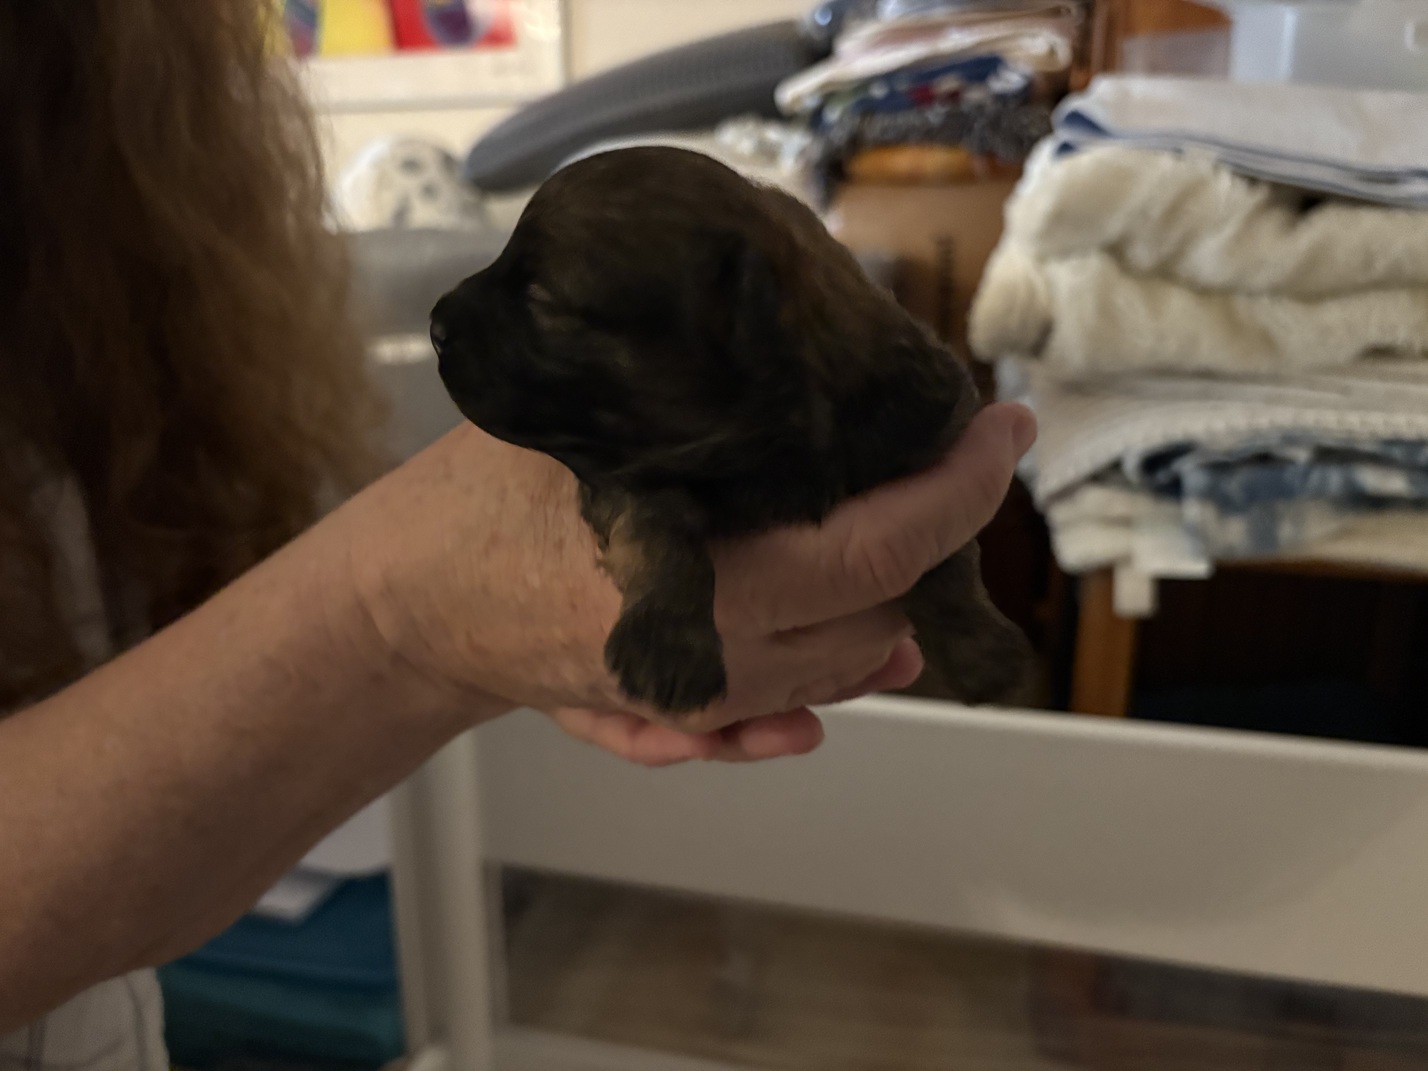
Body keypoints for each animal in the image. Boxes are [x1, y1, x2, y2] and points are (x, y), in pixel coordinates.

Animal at [432, 146, 1032, 714]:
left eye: (540, 298)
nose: (436, 323)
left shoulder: (935, 438)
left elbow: (950, 555)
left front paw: (981, 649)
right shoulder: (619, 477)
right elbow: (658, 528)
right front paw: (668, 649)